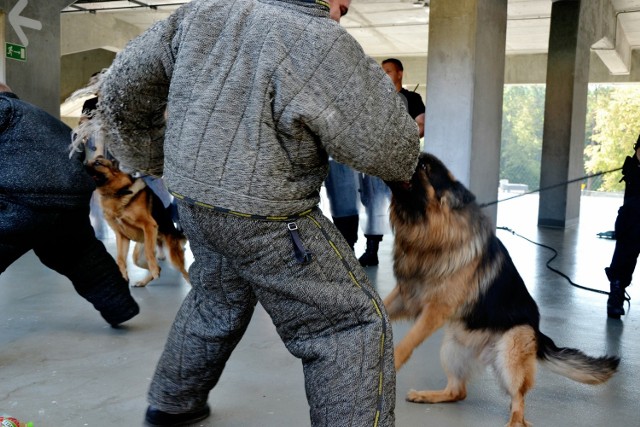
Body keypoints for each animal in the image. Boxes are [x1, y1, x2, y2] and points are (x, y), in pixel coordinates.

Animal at [86, 156, 189, 288]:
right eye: (86, 162)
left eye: (98, 163)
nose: (80, 165)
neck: (120, 191)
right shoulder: (122, 236)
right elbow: (120, 258)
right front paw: (123, 274)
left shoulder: (149, 225)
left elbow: (149, 252)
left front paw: (152, 268)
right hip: (137, 258)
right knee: (158, 267)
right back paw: (143, 282)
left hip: (173, 258)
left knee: (185, 273)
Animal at [382, 153, 616, 427]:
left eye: (424, 167)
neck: (428, 231)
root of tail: (538, 333)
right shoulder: (406, 295)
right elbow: (383, 307)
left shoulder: (435, 309)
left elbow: (406, 342)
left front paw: (392, 362)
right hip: (451, 347)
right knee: (457, 391)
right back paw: (428, 395)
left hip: (510, 352)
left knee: (519, 401)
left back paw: (513, 421)